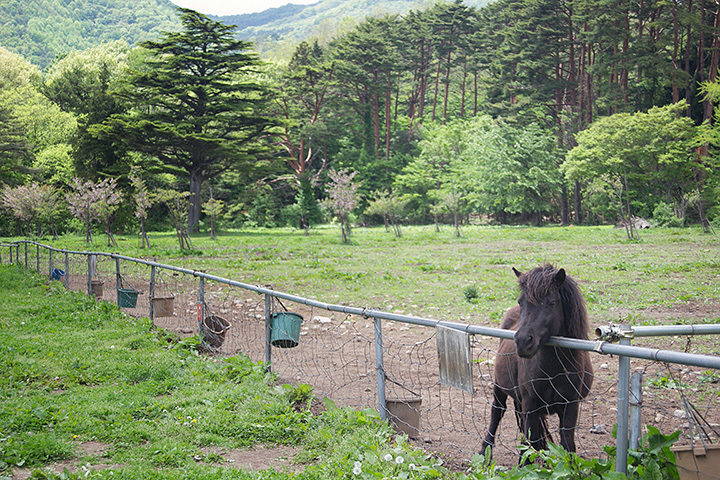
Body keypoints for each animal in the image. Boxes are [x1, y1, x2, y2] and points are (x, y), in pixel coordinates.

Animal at [480, 264, 592, 460]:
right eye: (521, 302)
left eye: (552, 302)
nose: (523, 342)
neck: (554, 369)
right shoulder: (531, 405)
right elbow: (529, 446)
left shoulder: (570, 406)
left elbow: (567, 446)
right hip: (499, 389)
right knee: (497, 413)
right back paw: (485, 451)